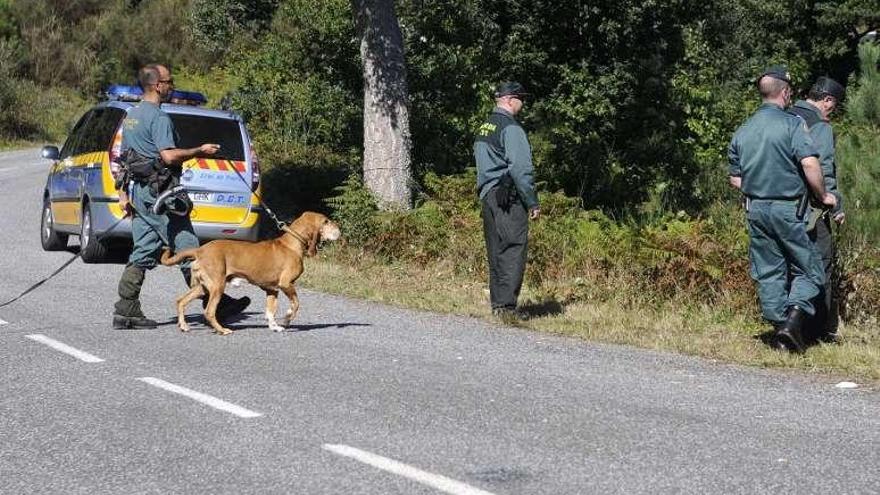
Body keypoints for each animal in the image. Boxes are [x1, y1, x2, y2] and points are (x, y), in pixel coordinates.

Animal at [158, 211, 340, 336]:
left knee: (181, 301)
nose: (339, 229)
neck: (292, 244)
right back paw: (223, 330)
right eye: (326, 221)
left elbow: (270, 311)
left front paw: (274, 326)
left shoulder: (272, 290)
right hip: (217, 286)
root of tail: (200, 250)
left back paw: (184, 325)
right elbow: (295, 304)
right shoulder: (286, 284)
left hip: (203, 288)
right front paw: (287, 319)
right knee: (209, 312)